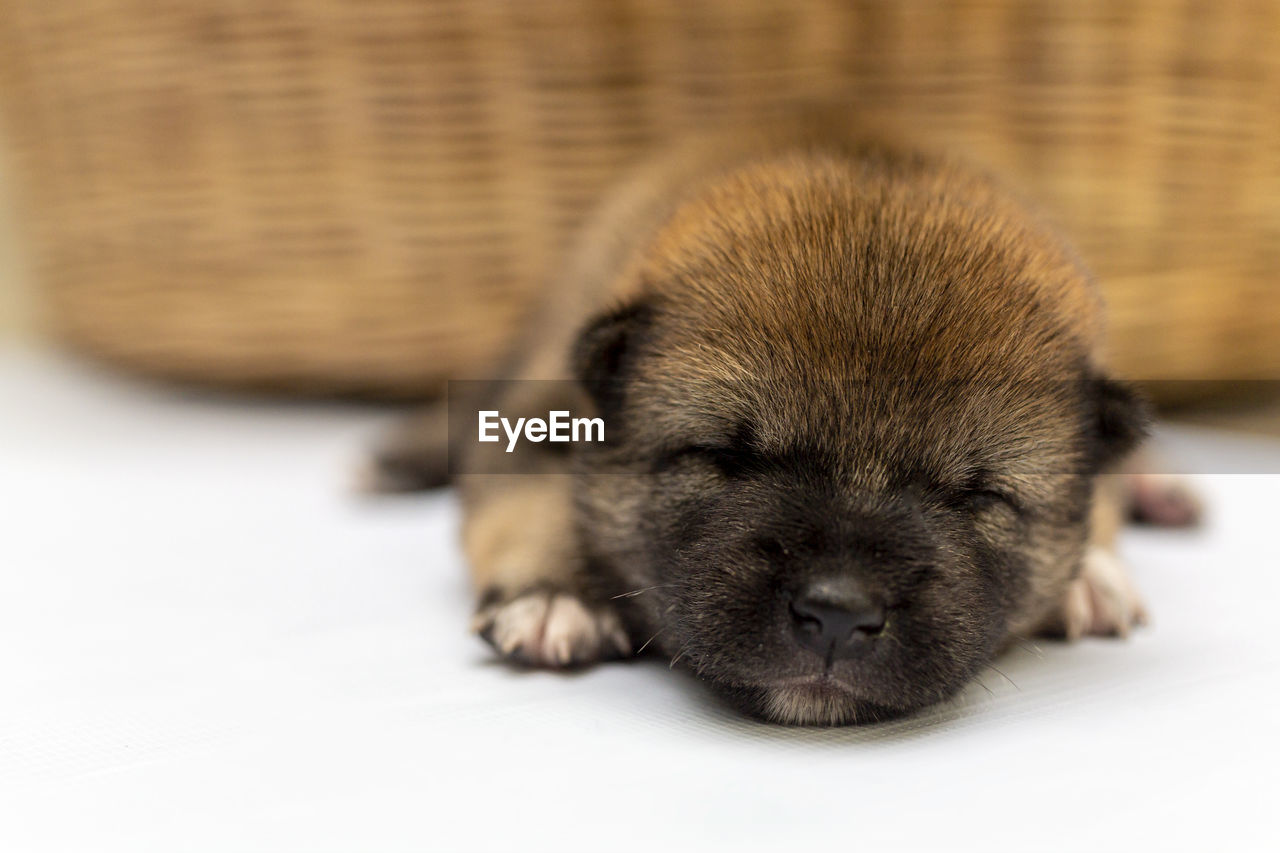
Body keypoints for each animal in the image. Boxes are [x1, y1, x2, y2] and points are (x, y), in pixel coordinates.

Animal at [368, 114, 1177, 722]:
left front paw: (1092, 573)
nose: (838, 615)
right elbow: (529, 501)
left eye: (977, 495)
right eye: (725, 455)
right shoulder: (540, 414)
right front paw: (555, 594)